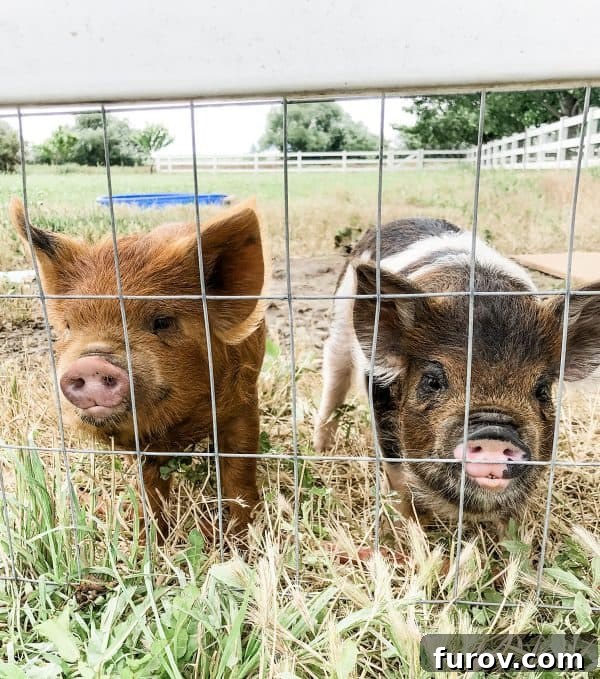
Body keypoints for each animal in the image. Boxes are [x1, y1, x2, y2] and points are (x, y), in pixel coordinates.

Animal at [10, 197, 266, 537]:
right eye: (68, 326)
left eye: (163, 321)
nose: (90, 362)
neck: (180, 427)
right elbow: (149, 486)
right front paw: (149, 535)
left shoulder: (244, 402)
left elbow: (239, 469)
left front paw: (240, 534)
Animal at [314, 218, 600, 530]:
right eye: (433, 381)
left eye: (542, 390)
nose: (494, 433)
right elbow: (399, 478)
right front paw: (410, 529)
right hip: (339, 324)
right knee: (334, 381)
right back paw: (320, 450)